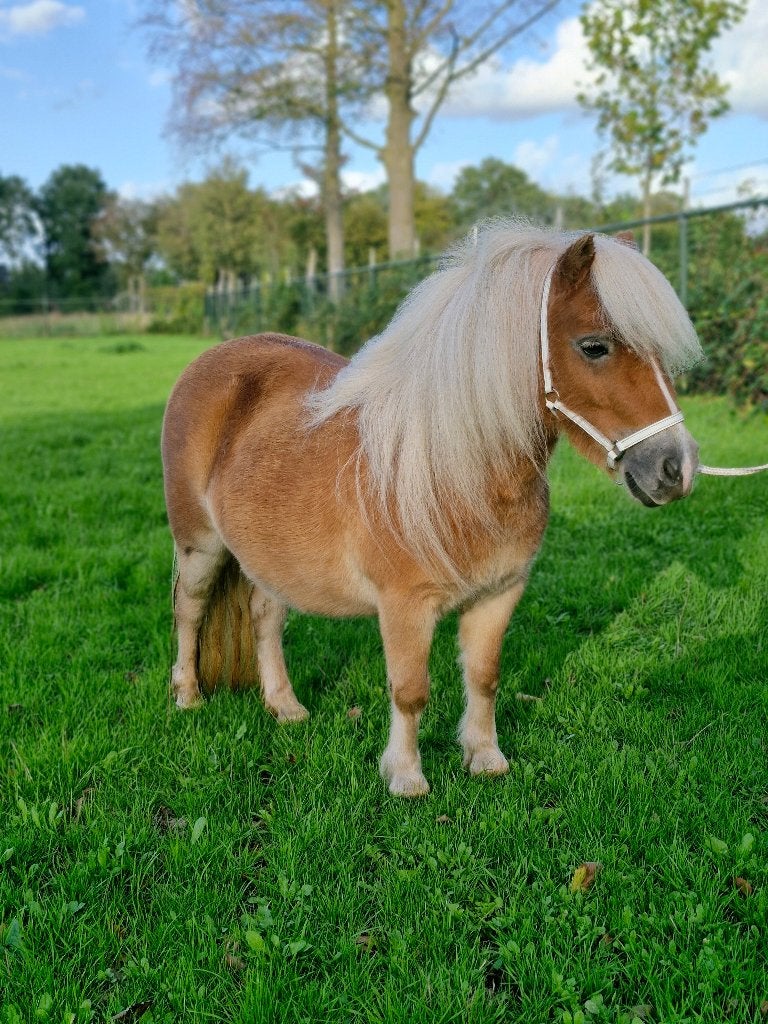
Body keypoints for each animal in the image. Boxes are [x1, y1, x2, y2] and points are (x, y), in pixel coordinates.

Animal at [161, 224, 703, 797]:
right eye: (594, 346)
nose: (677, 468)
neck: (454, 472)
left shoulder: (499, 595)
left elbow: (484, 678)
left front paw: (485, 757)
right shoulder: (405, 606)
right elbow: (410, 691)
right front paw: (406, 777)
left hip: (269, 558)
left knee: (265, 618)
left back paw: (286, 707)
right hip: (200, 544)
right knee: (189, 609)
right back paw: (188, 696)